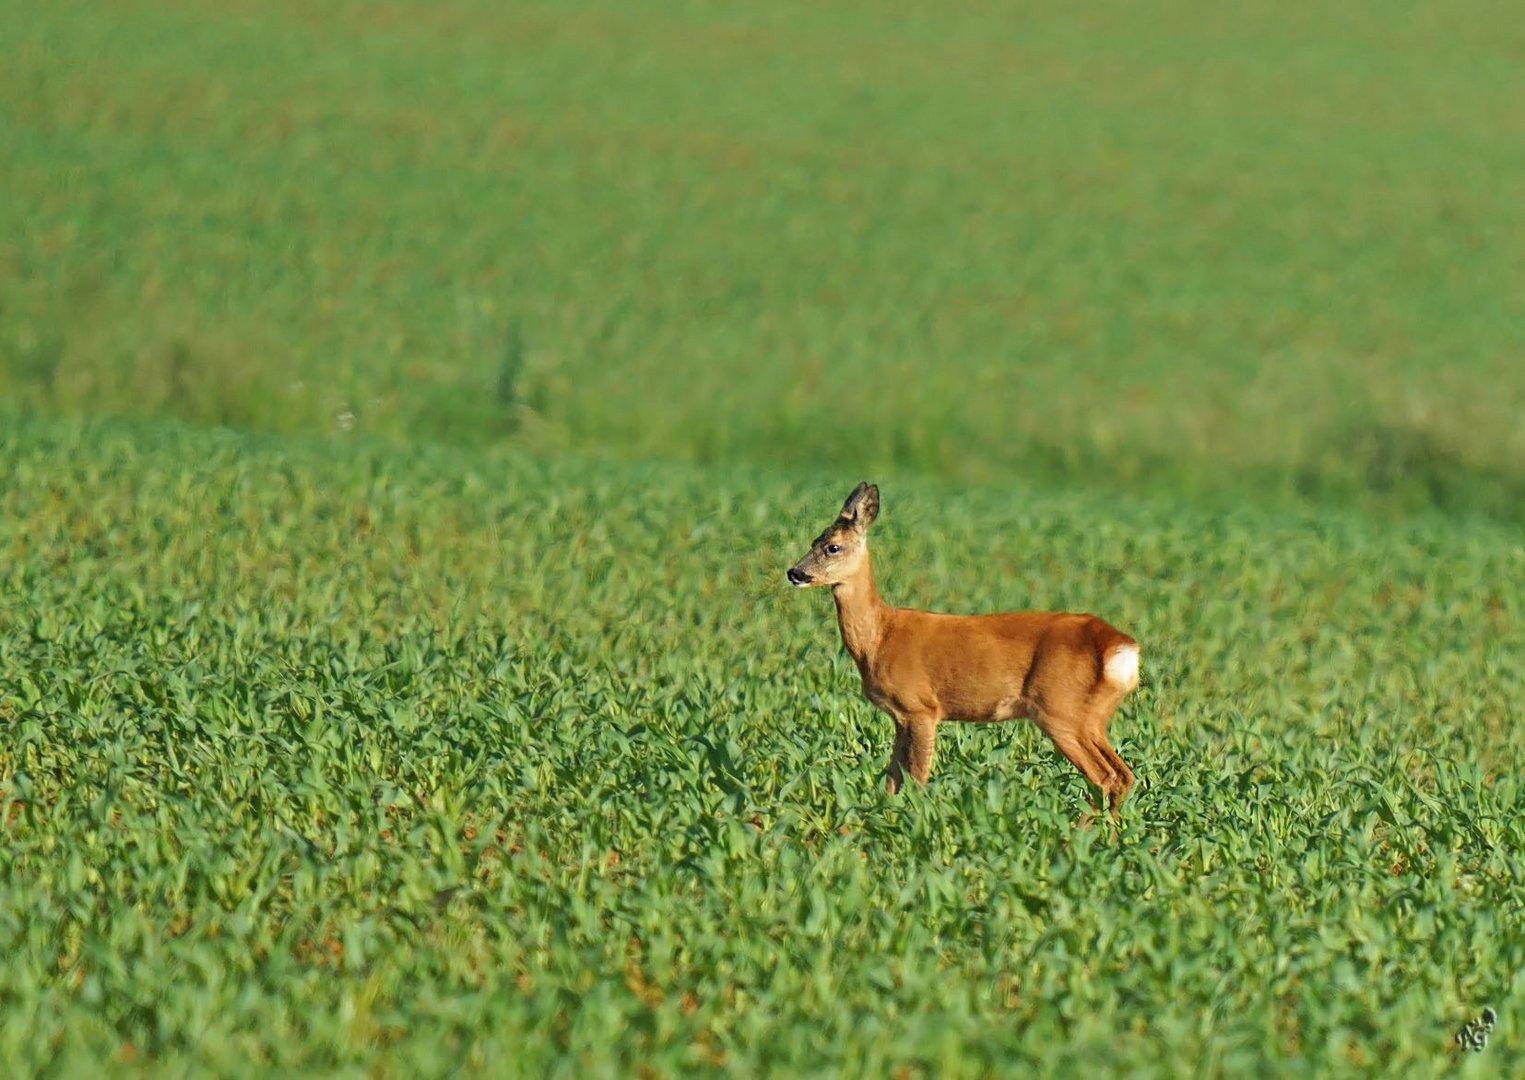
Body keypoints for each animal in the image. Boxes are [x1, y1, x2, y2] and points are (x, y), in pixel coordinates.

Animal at [793, 482, 1140, 811]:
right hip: (1093, 717)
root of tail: (1121, 646)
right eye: (813, 541)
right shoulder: (901, 718)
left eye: (833, 547)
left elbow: (916, 781)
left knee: (1104, 778)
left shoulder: (921, 707)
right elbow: (892, 783)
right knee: (1123, 775)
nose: (794, 572)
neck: (880, 637)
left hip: (1060, 709)